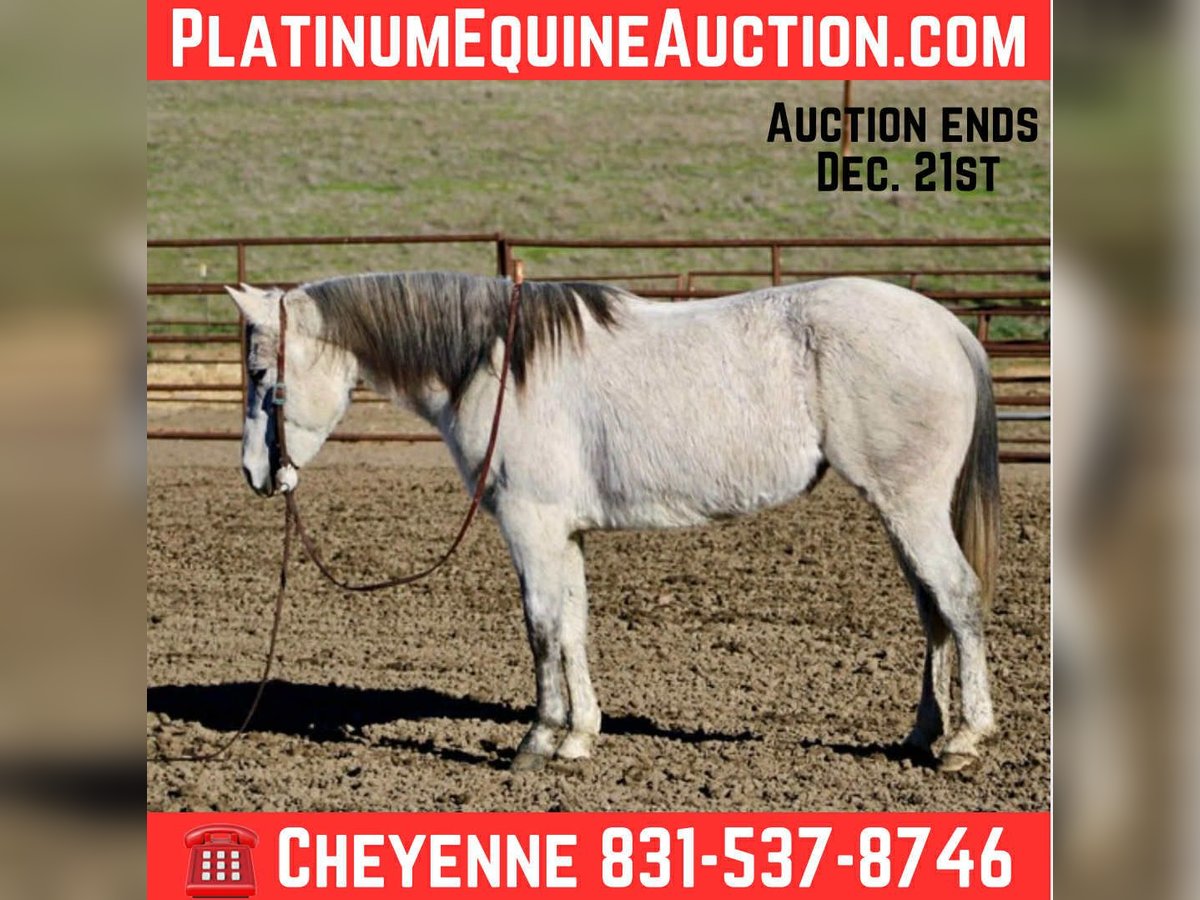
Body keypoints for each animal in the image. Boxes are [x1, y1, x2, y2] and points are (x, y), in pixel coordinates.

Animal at [226, 272, 999, 773]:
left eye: (261, 374)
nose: (256, 475)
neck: (500, 369)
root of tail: (945, 326)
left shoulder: (531, 525)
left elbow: (541, 627)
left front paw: (538, 742)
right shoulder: (561, 532)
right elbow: (572, 626)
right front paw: (579, 739)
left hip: (910, 504)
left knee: (957, 598)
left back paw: (966, 741)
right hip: (900, 512)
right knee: (931, 607)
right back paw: (923, 734)